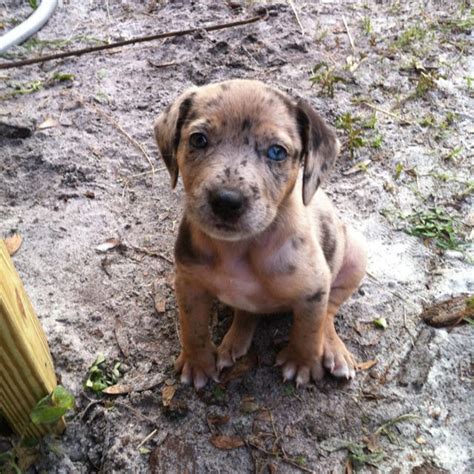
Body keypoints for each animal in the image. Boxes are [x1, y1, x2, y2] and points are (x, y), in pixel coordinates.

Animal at [154, 78, 368, 388]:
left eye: (277, 151)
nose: (226, 201)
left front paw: (302, 363)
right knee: (246, 313)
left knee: (329, 311)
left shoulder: (314, 290)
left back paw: (335, 350)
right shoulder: (188, 283)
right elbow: (192, 326)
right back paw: (233, 342)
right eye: (198, 139)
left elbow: (308, 330)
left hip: (355, 256)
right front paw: (197, 362)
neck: (240, 249)